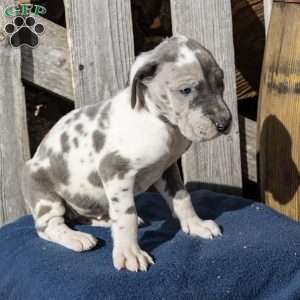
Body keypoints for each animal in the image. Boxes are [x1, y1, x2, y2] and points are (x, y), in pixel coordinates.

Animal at [22, 35, 232, 272]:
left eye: (220, 83)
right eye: (186, 90)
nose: (224, 124)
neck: (161, 123)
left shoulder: (167, 168)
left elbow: (182, 198)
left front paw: (196, 224)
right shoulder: (115, 170)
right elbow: (126, 216)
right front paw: (129, 253)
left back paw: (103, 221)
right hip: (44, 195)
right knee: (48, 226)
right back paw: (76, 238)